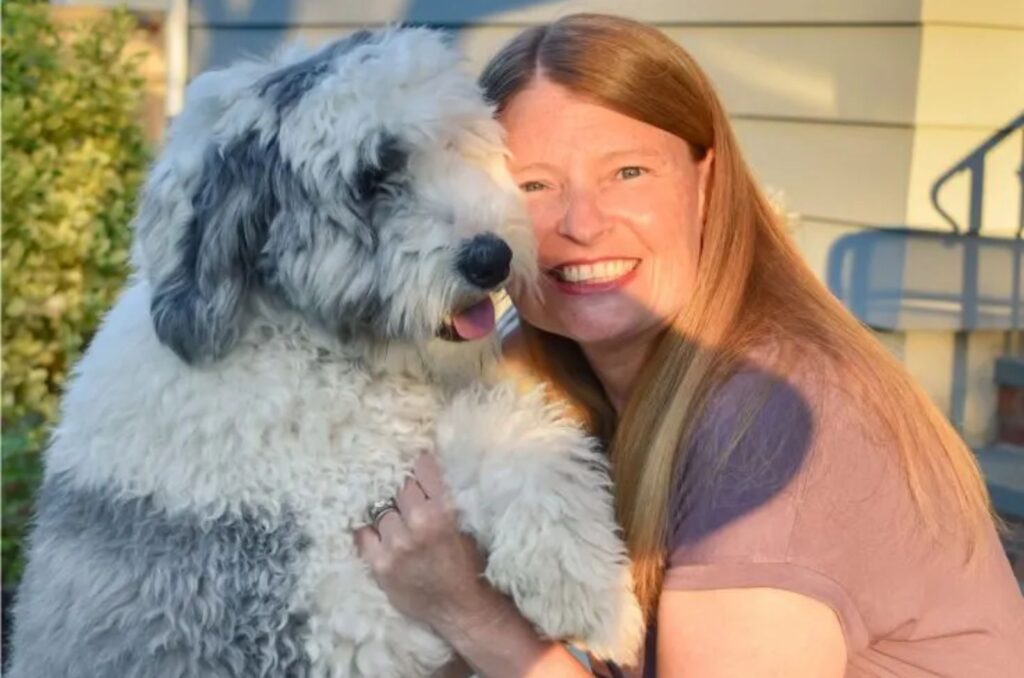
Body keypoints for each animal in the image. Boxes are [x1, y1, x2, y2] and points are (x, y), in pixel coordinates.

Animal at [8, 27, 643, 678]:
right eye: (372, 176)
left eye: (455, 144)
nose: (491, 257)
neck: (303, 347)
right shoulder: (319, 609)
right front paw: (595, 597)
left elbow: (510, 435)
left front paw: (586, 588)